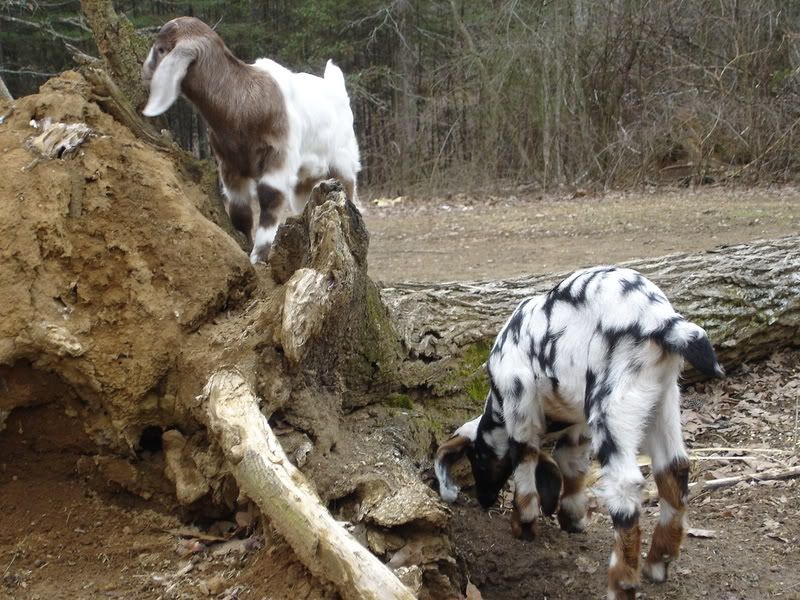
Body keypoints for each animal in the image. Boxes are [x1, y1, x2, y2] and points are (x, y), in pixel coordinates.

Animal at [141, 17, 361, 264]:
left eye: (161, 49)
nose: (144, 71)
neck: (244, 103)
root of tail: (336, 88)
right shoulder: (228, 163)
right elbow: (239, 209)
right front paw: (245, 242)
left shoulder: (279, 154)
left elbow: (269, 195)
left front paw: (259, 254)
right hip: (305, 179)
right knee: (302, 200)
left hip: (343, 159)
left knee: (350, 192)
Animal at [434, 266, 724, 599]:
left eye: (476, 458)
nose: (484, 500)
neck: (497, 400)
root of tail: (661, 321)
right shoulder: (578, 422)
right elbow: (570, 463)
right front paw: (572, 517)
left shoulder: (520, 400)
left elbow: (525, 457)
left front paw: (523, 524)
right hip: (663, 402)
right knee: (674, 469)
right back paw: (657, 562)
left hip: (612, 408)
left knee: (626, 487)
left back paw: (621, 583)